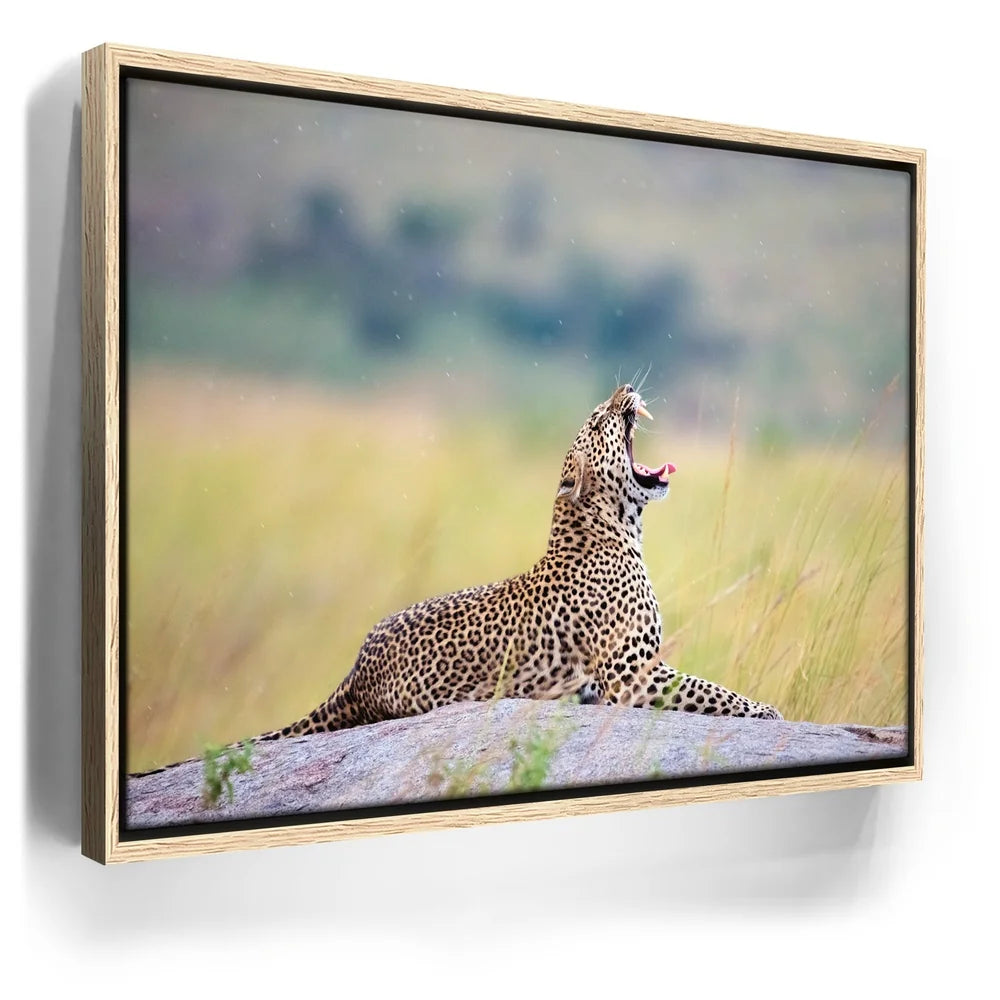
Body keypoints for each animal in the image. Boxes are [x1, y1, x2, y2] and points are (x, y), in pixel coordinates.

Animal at [136, 384, 780, 776]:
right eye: (600, 420)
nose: (625, 389)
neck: (618, 528)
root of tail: (356, 667)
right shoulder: (633, 675)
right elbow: (713, 693)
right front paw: (770, 714)